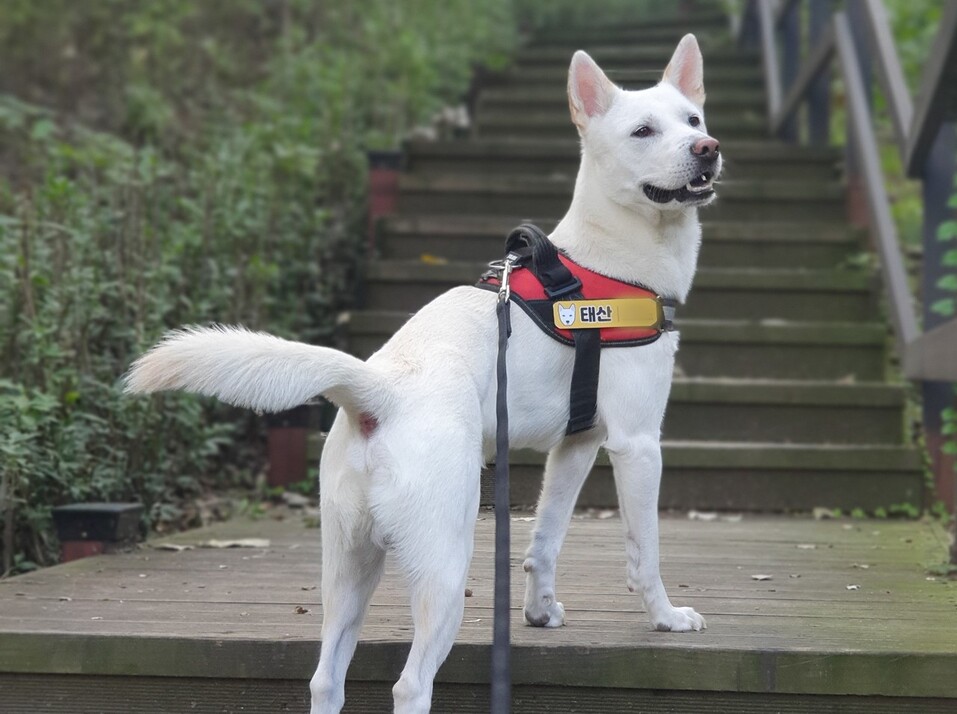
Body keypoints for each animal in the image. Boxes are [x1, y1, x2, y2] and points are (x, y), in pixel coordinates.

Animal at [125, 36, 716, 712]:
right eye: (643, 131)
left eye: (693, 119)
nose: (708, 149)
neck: (607, 261)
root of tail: (376, 392)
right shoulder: (638, 446)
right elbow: (645, 553)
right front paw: (666, 619)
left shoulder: (577, 447)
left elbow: (545, 539)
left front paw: (539, 612)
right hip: (444, 565)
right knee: (410, 684)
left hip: (349, 567)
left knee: (326, 675)